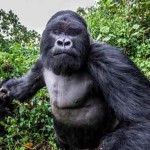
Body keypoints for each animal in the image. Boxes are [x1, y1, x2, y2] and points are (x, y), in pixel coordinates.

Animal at [0, 10, 150, 149]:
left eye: (73, 33)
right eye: (56, 32)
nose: (63, 42)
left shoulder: (107, 57)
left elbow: (141, 121)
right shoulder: (42, 61)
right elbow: (25, 86)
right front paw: (6, 91)